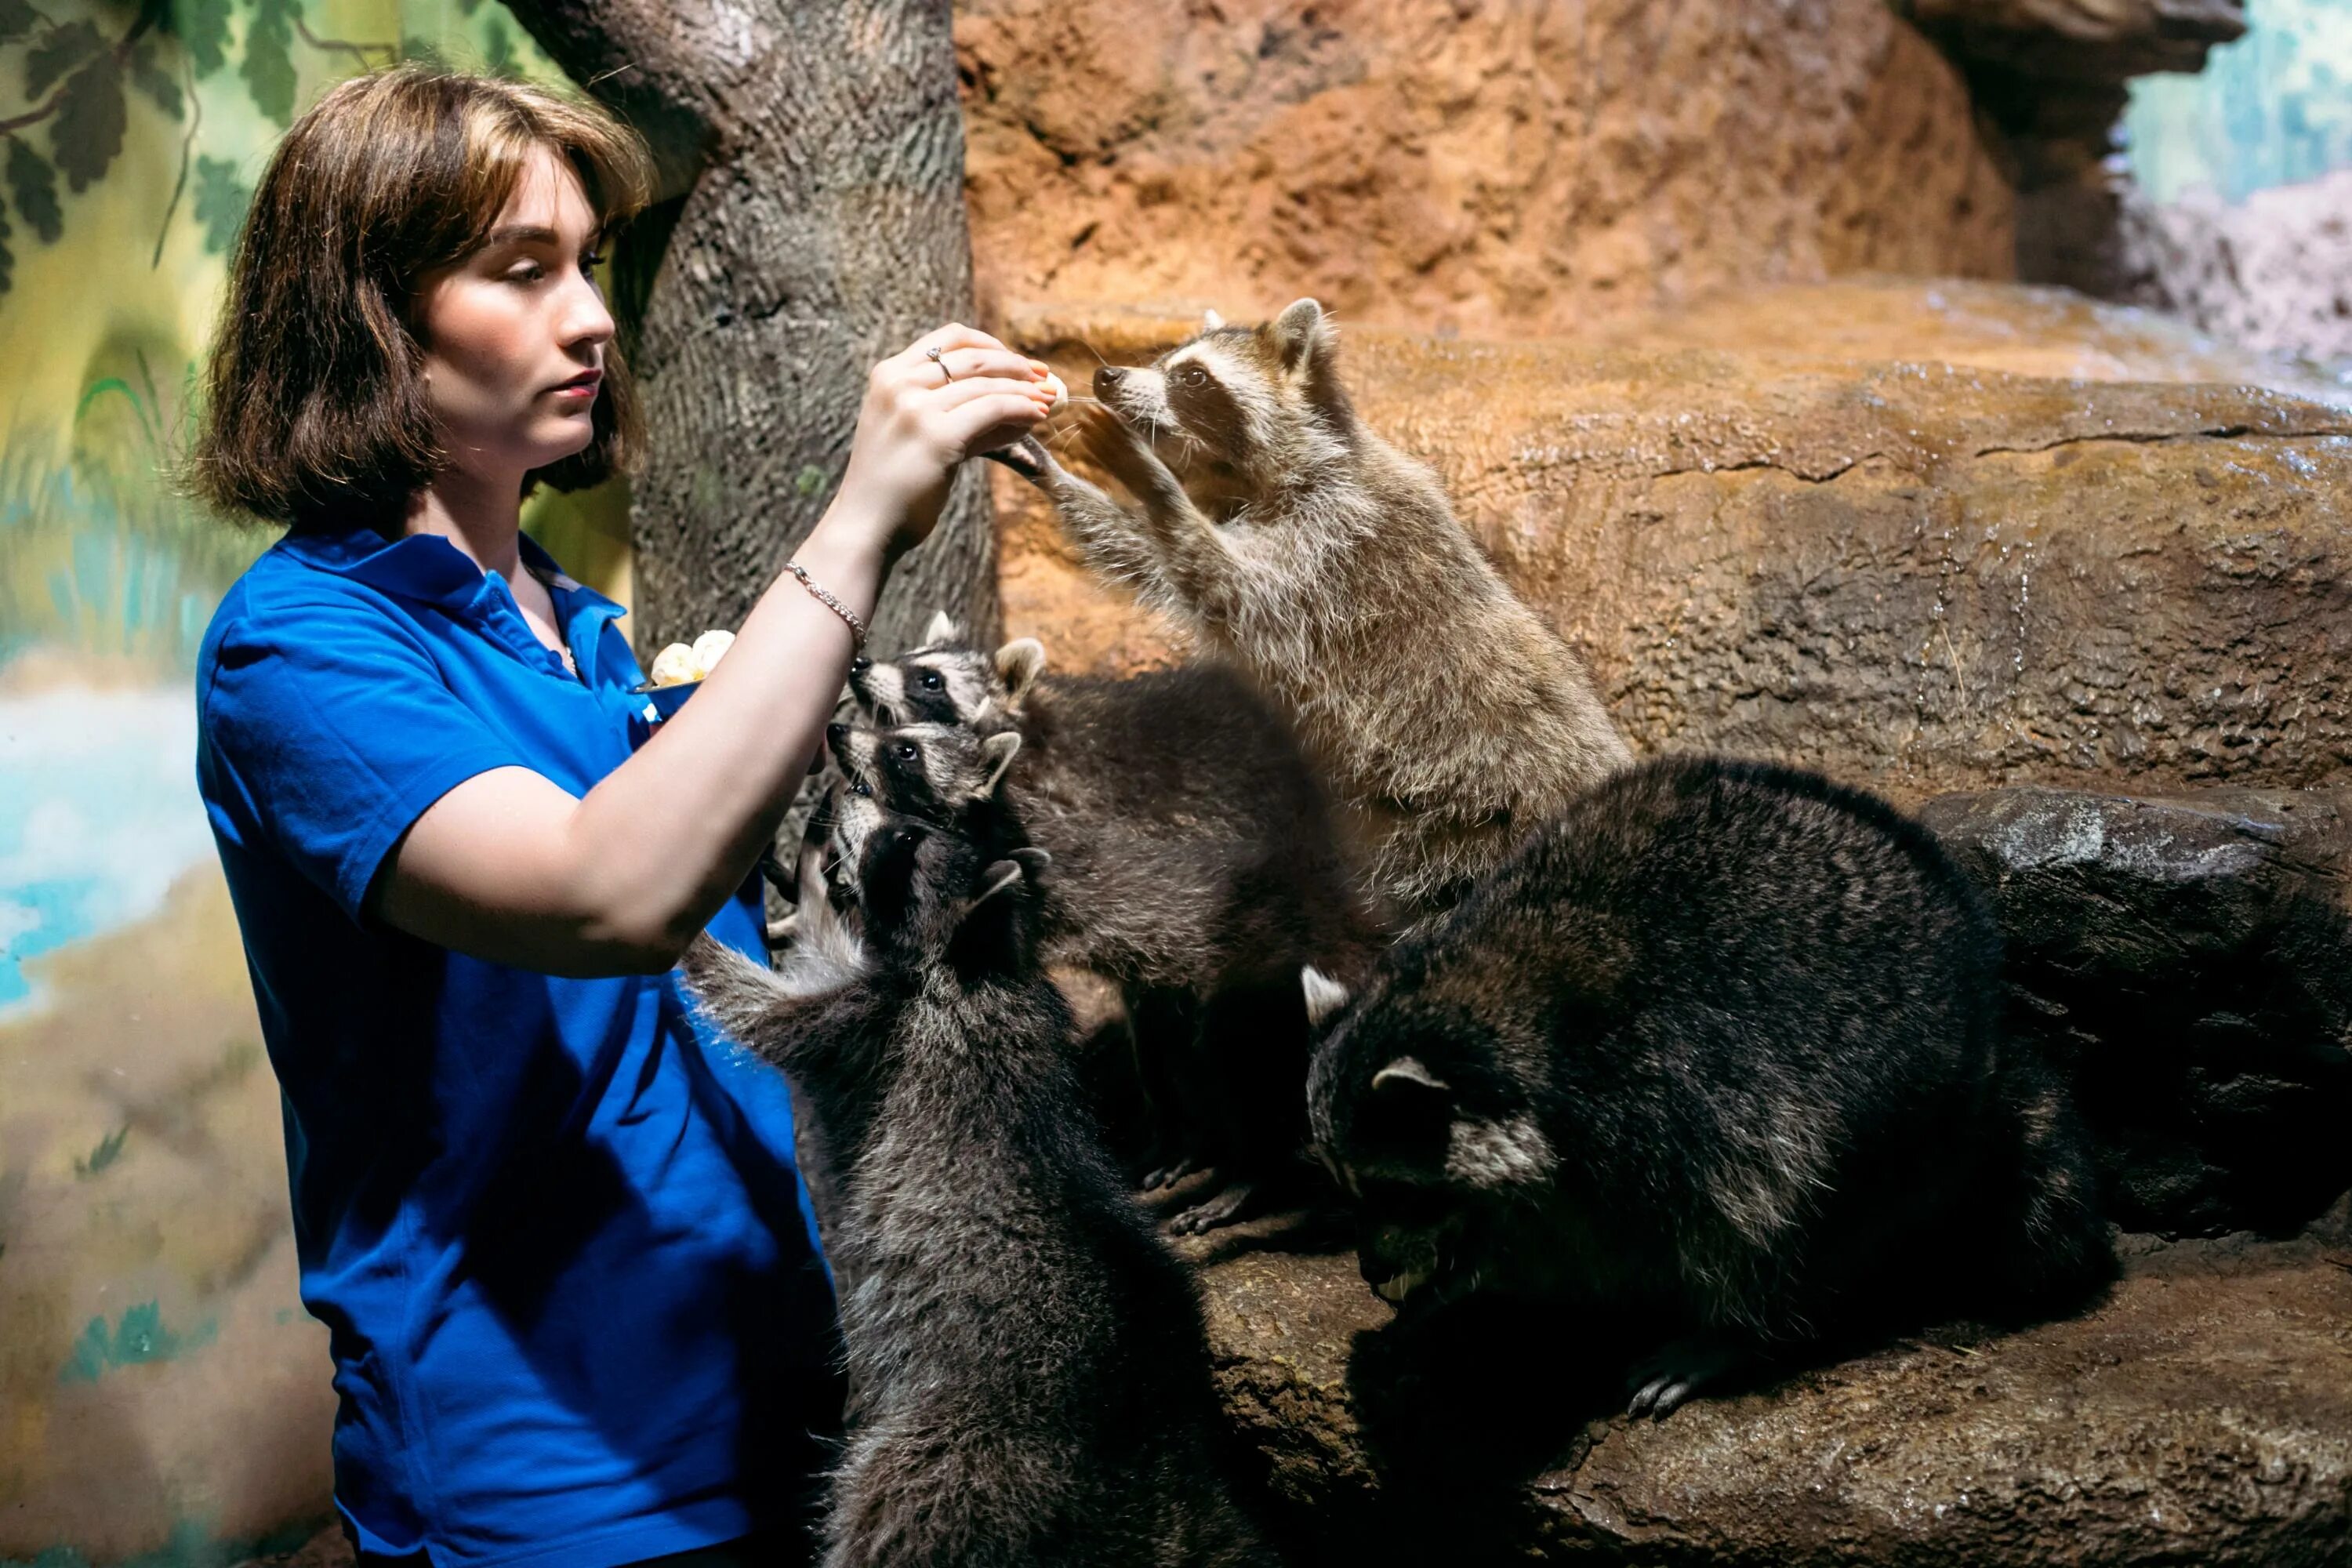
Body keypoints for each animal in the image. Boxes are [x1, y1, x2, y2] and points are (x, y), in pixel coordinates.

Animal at [682, 808, 1279, 1568]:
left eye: (907, 840)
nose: (841, 803)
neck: (983, 952)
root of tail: (1162, 1466)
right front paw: (815, 882)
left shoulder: (873, 1021)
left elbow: (763, 1011)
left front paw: (689, 936)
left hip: (953, 1468)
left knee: (886, 1507)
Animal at [823, 700, 1374, 1241]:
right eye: (899, 732)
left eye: (906, 752)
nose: (836, 731)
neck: (996, 818)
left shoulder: (1016, 904)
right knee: (1165, 1056)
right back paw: (1184, 1140)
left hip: (1256, 979)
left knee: (1241, 1074)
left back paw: (1249, 1171)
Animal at [993, 300, 1637, 926]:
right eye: (1160, 358)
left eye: (1193, 377)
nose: (1106, 377)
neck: (1254, 478)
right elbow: (1151, 558)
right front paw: (1053, 472)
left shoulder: (1337, 537)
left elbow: (1233, 585)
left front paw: (1153, 485)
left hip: (1493, 806)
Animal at [1308, 752, 2117, 1420]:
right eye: (1344, 1188)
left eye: (1397, 1191)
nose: (1370, 1270)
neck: (1478, 988)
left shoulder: (1651, 1105)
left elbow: (1628, 1240)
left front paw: (1470, 1279)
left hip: (1893, 1097)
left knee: (1785, 1213)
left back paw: (1736, 1331)